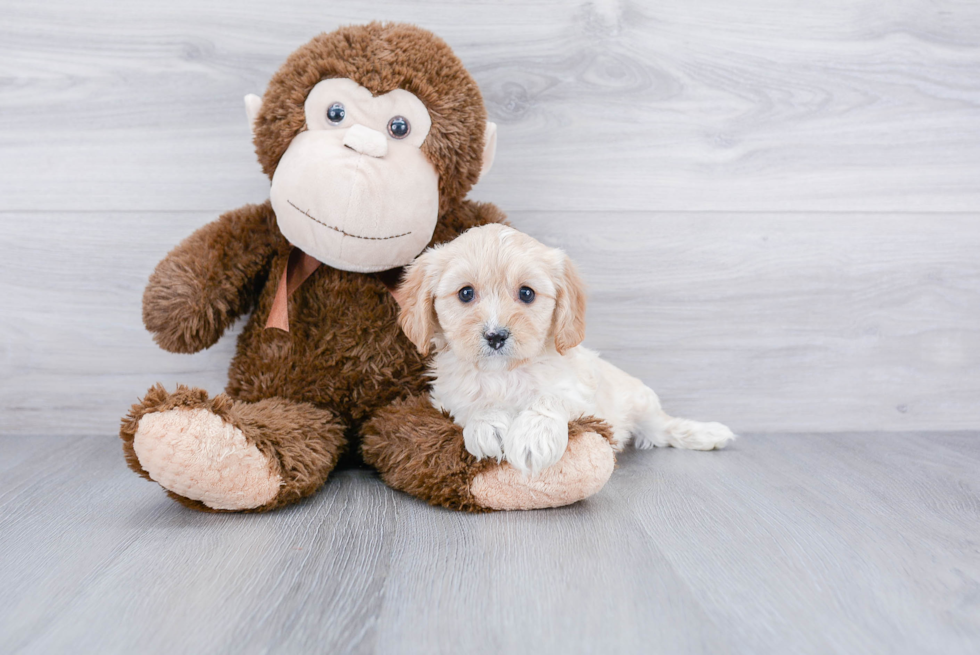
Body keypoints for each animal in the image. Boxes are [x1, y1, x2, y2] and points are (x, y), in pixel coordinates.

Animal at [398, 226, 736, 476]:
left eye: (527, 293)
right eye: (466, 293)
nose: (496, 336)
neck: (505, 373)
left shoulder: (580, 393)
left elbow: (550, 398)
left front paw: (533, 436)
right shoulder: (445, 397)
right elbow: (472, 403)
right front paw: (489, 424)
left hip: (641, 404)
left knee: (664, 427)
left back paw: (707, 434)